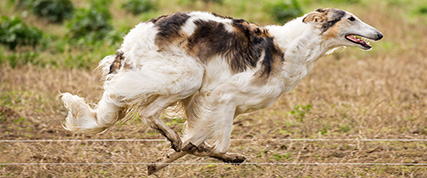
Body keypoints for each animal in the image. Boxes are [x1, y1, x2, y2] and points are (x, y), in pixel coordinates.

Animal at [60, 8, 384, 174]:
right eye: (351, 18)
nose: (379, 34)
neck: (291, 47)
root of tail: (132, 38)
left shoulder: (221, 105)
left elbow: (199, 142)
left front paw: (161, 162)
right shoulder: (222, 96)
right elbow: (218, 145)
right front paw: (216, 155)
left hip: (182, 85)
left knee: (149, 114)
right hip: (187, 76)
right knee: (148, 112)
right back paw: (174, 139)